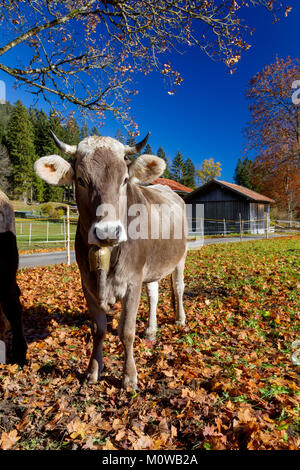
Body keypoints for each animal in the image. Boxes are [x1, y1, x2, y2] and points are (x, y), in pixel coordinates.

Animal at [34, 132, 185, 390]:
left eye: (124, 180)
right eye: (81, 180)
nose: (107, 232)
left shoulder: (133, 280)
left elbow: (126, 331)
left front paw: (129, 377)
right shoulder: (87, 284)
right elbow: (98, 330)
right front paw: (93, 370)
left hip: (181, 257)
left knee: (178, 287)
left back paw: (180, 319)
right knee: (154, 294)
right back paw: (151, 331)